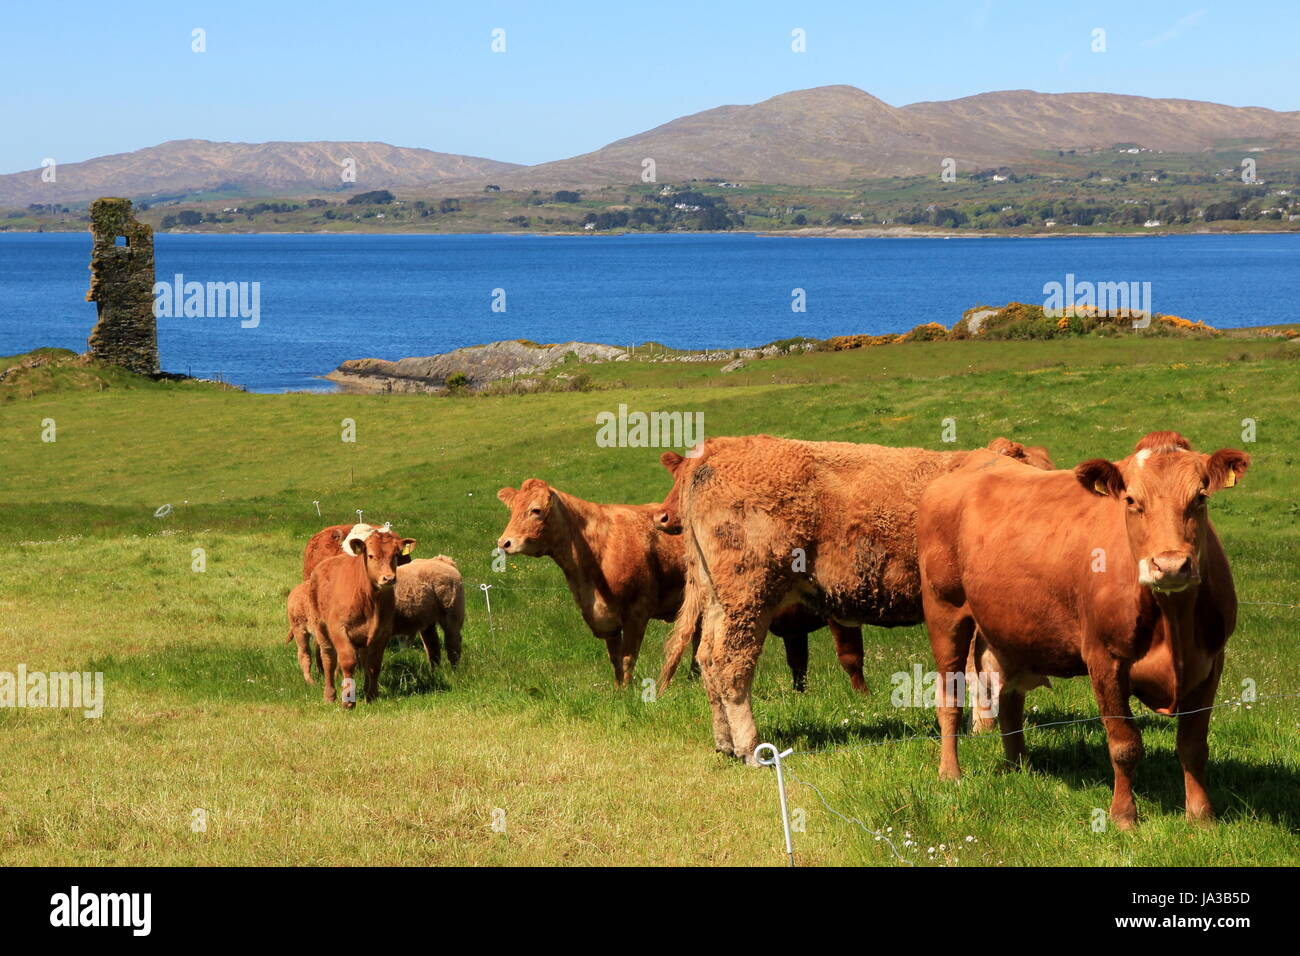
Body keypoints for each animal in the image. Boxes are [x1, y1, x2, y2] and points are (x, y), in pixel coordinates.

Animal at [304, 528, 416, 707]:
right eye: (370, 555)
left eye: (396, 555)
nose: (389, 578)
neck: (369, 598)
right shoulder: (338, 629)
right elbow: (348, 661)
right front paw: (348, 700)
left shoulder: (383, 632)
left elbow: (374, 664)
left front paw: (372, 695)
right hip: (320, 626)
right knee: (328, 657)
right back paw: (329, 694)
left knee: (364, 659)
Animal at [655, 434, 1050, 764]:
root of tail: (722, 448)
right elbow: (978, 671)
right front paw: (982, 730)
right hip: (749, 594)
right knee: (731, 664)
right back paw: (751, 748)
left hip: (719, 600)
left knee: (707, 658)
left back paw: (725, 744)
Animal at [920, 429, 1242, 827]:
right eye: (1132, 500)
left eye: (1200, 497)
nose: (1170, 566)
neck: (1173, 623)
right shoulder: (1104, 660)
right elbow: (1124, 745)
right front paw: (1123, 817)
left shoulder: (1211, 662)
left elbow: (1193, 744)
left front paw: (1201, 816)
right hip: (944, 611)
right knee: (949, 697)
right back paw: (950, 773)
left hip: (1010, 627)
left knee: (1010, 701)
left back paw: (1019, 767)